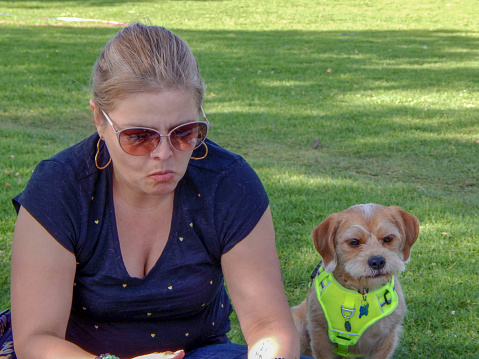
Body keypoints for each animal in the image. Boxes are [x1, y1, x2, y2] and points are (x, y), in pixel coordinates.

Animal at [290, 205, 418, 359]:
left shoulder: (387, 337)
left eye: (387, 238)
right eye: (354, 242)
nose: (377, 261)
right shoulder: (319, 334)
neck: (360, 292)